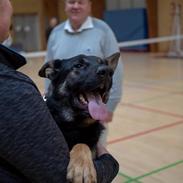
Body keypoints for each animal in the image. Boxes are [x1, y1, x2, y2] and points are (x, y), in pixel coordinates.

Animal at [38, 52, 120, 182]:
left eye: (103, 63)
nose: (108, 71)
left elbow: (82, 144)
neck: (74, 125)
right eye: (78, 65)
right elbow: (81, 144)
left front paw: (82, 165)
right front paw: (81, 166)